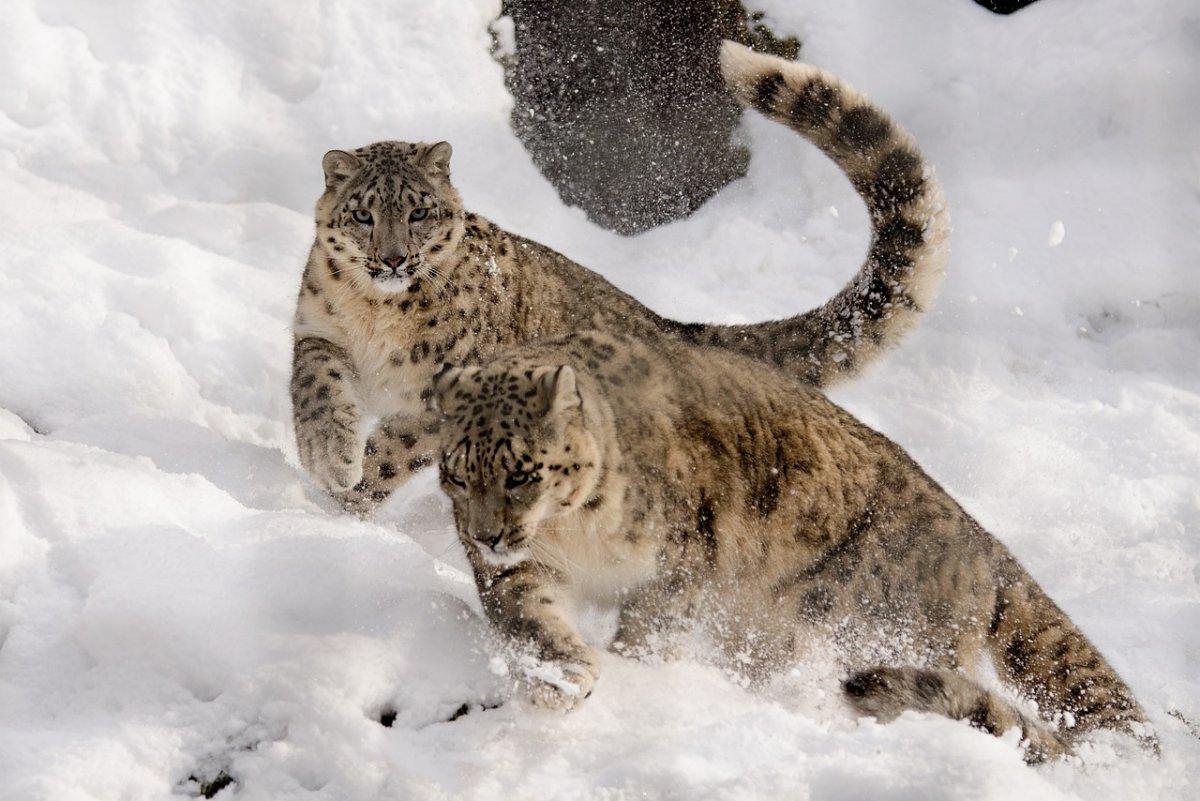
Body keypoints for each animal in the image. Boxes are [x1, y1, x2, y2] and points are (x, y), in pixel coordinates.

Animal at [290, 40, 945, 513]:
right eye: (364, 214)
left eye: (419, 212)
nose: (393, 259)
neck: (378, 317)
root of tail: (667, 325)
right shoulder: (319, 329)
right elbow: (316, 388)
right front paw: (329, 457)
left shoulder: (446, 391)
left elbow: (393, 450)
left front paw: (346, 498)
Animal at [429, 326, 1152, 762]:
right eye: (458, 473)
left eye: (521, 473)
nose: (488, 534)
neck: (574, 534)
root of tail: (981, 540)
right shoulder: (523, 570)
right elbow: (531, 616)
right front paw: (562, 678)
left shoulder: (679, 561)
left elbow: (652, 628)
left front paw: (636, 671)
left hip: (865, 625)